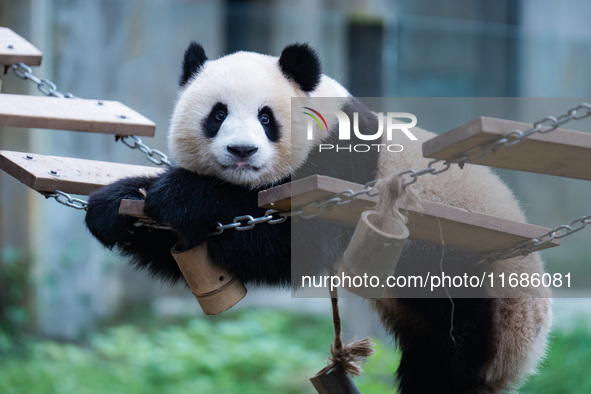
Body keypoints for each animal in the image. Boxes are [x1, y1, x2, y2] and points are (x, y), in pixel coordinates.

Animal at [85, 41, 552, 392]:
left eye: (266, 117)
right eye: (217, 114)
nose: (241, 151)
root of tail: (527, 354)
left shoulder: (342, 166)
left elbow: (295, 244)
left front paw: (179, 195)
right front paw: (114, 207)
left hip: (479, 288)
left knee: (455, 355)